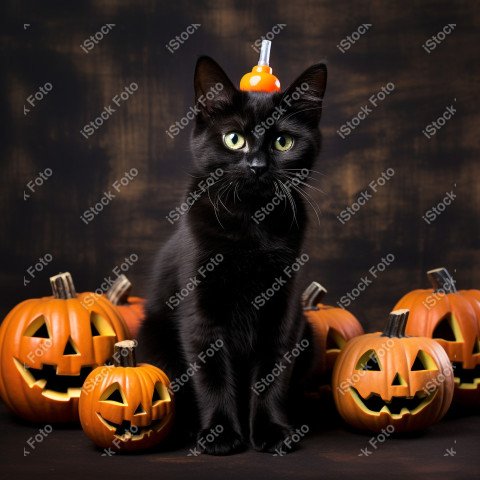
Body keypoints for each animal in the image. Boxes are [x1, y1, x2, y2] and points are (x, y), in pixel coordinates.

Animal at [137, 56, 328, 454]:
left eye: (283, 142)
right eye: (234, 139)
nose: (257, 166)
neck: (250, 224)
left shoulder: (283, 310)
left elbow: (272, 373)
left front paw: (271, 431)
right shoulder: (201, 314)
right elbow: (212, 376)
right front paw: (221, 433)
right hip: (152, 339)